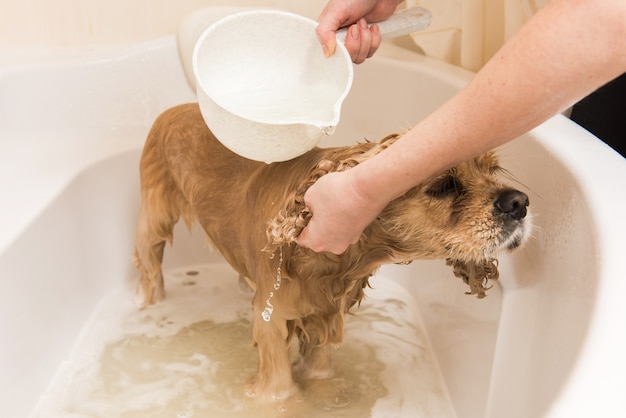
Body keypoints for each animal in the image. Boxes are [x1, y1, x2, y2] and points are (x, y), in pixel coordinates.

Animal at [132, 102, 528, 402]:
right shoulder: (271, 320)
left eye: (493, 170)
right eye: (444, 185)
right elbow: (277, 389)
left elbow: (320, 370)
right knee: (151, 272)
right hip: (152, 221)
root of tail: (177, 107)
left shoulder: (324, 314)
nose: (520, 202)